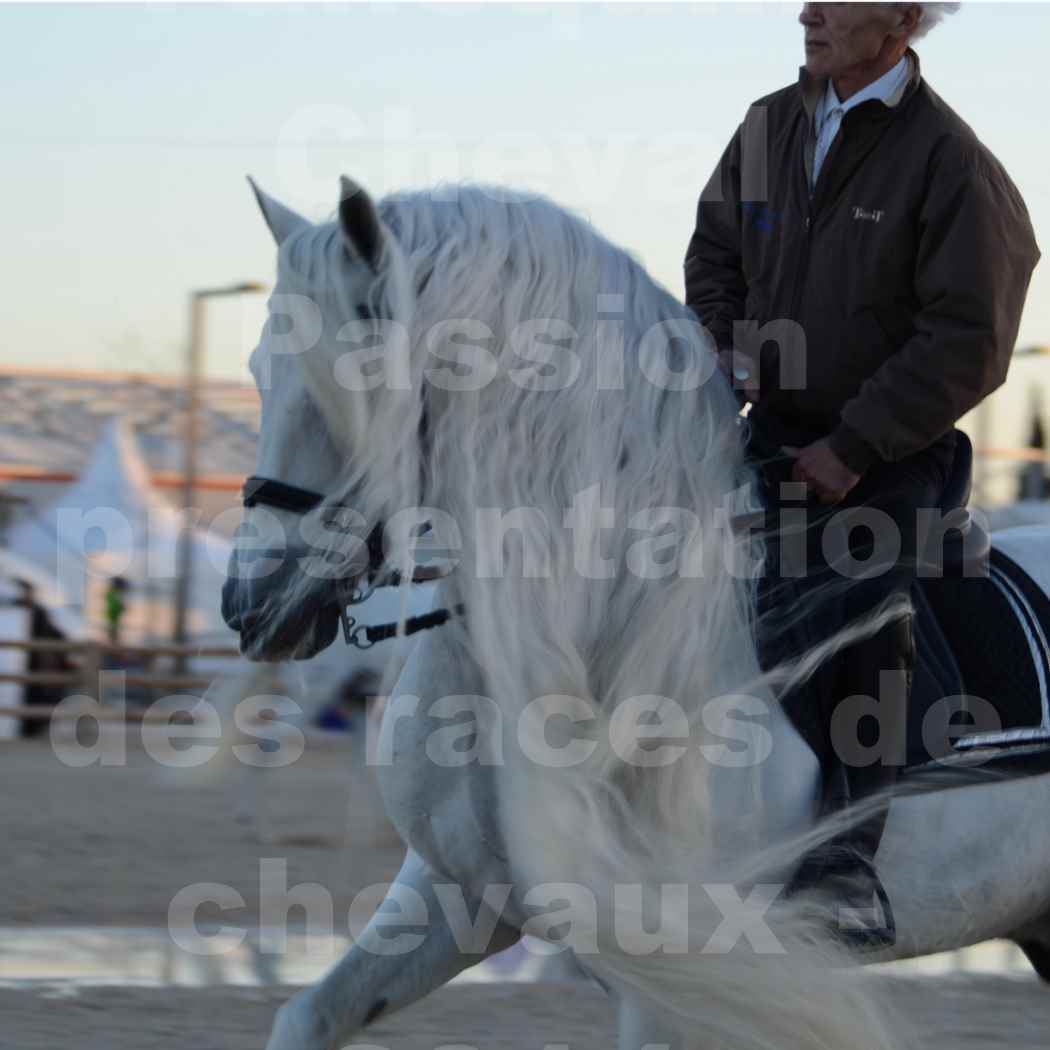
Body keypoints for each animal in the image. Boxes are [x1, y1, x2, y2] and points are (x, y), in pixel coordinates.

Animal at [221, 180, 1050, 1050]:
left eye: (357, 388)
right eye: (258, 371)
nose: (250, 604)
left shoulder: (683, 971)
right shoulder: (455, 898)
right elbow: (311, 1015)